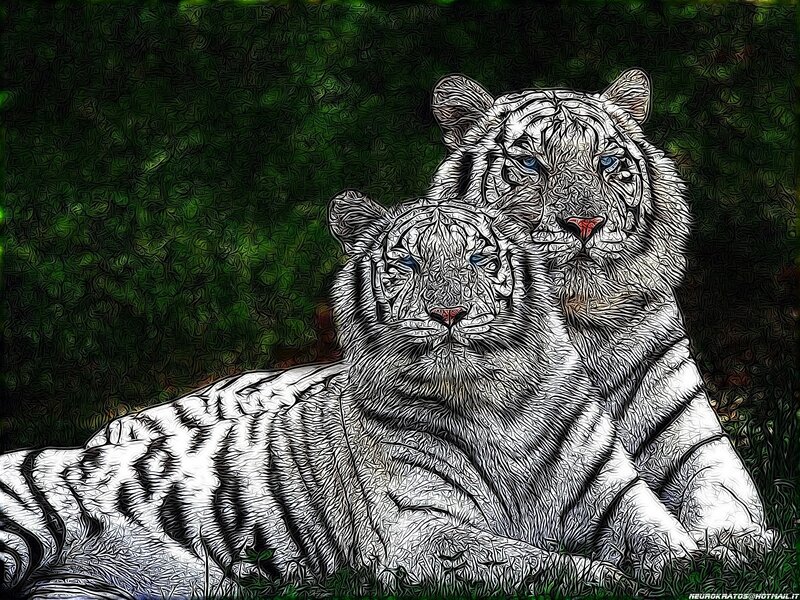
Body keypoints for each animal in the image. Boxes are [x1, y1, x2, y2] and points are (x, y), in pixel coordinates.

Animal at [0, 192, 700, 599]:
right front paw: (610, 575)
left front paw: (703, 558)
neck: (492, 399)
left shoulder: (615, 494)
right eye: (408, 264)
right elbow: (543, 561)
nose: (448, 314)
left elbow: (667, 540)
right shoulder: (426, 532)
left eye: (481, 259)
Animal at [426, 68, 778, 563]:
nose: (585, 224)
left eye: (606, 161)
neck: (576, 316)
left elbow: (718, 488)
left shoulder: (694, 435)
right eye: (531, 163)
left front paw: (737, 540)